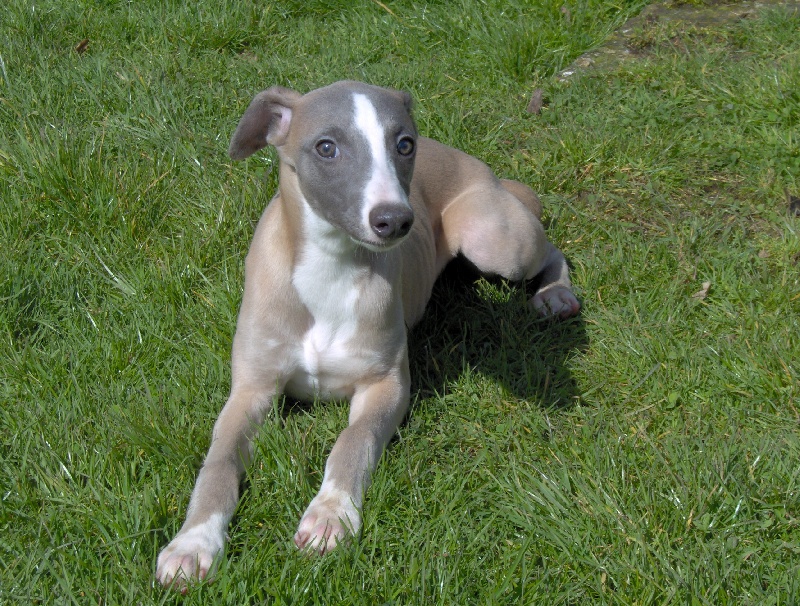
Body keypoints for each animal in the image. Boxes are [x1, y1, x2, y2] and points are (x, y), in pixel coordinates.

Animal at [156, 81, 580, 588]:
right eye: (326, 147)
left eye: (404, 144)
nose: (396, 221)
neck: (330, 268)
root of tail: (484, 170)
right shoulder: (250, 389)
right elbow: (218, 462)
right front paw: (192, 542)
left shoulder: (386, 384)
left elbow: (352, 441)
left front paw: (329, 514)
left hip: (493, 237)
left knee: (549, 247)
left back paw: (556, 294)